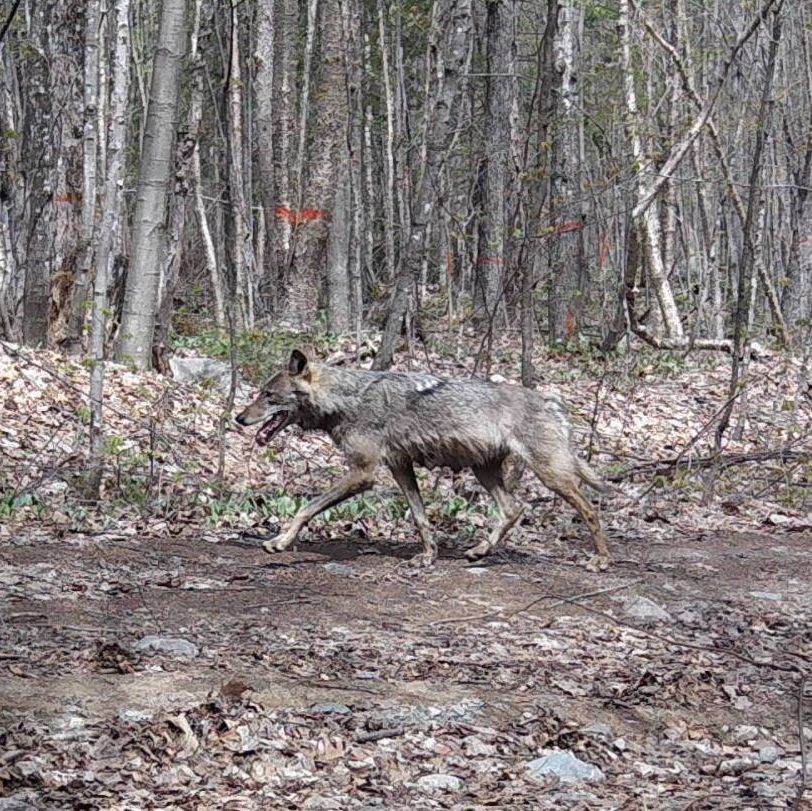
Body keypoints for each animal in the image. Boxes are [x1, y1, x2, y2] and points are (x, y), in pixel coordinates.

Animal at [235, 349, 612, 569]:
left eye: (268, 395)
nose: (239, 418)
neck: (346, 399)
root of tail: (552, 401)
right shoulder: (399, 467)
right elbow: (421, 517)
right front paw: (429, 556)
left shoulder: (363, 473)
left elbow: (306, 507)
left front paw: (280, 542)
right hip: (484, 471)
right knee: (513, 509)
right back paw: (479, 551)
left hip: (550, 475)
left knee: (590, 509)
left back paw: (601, 561)